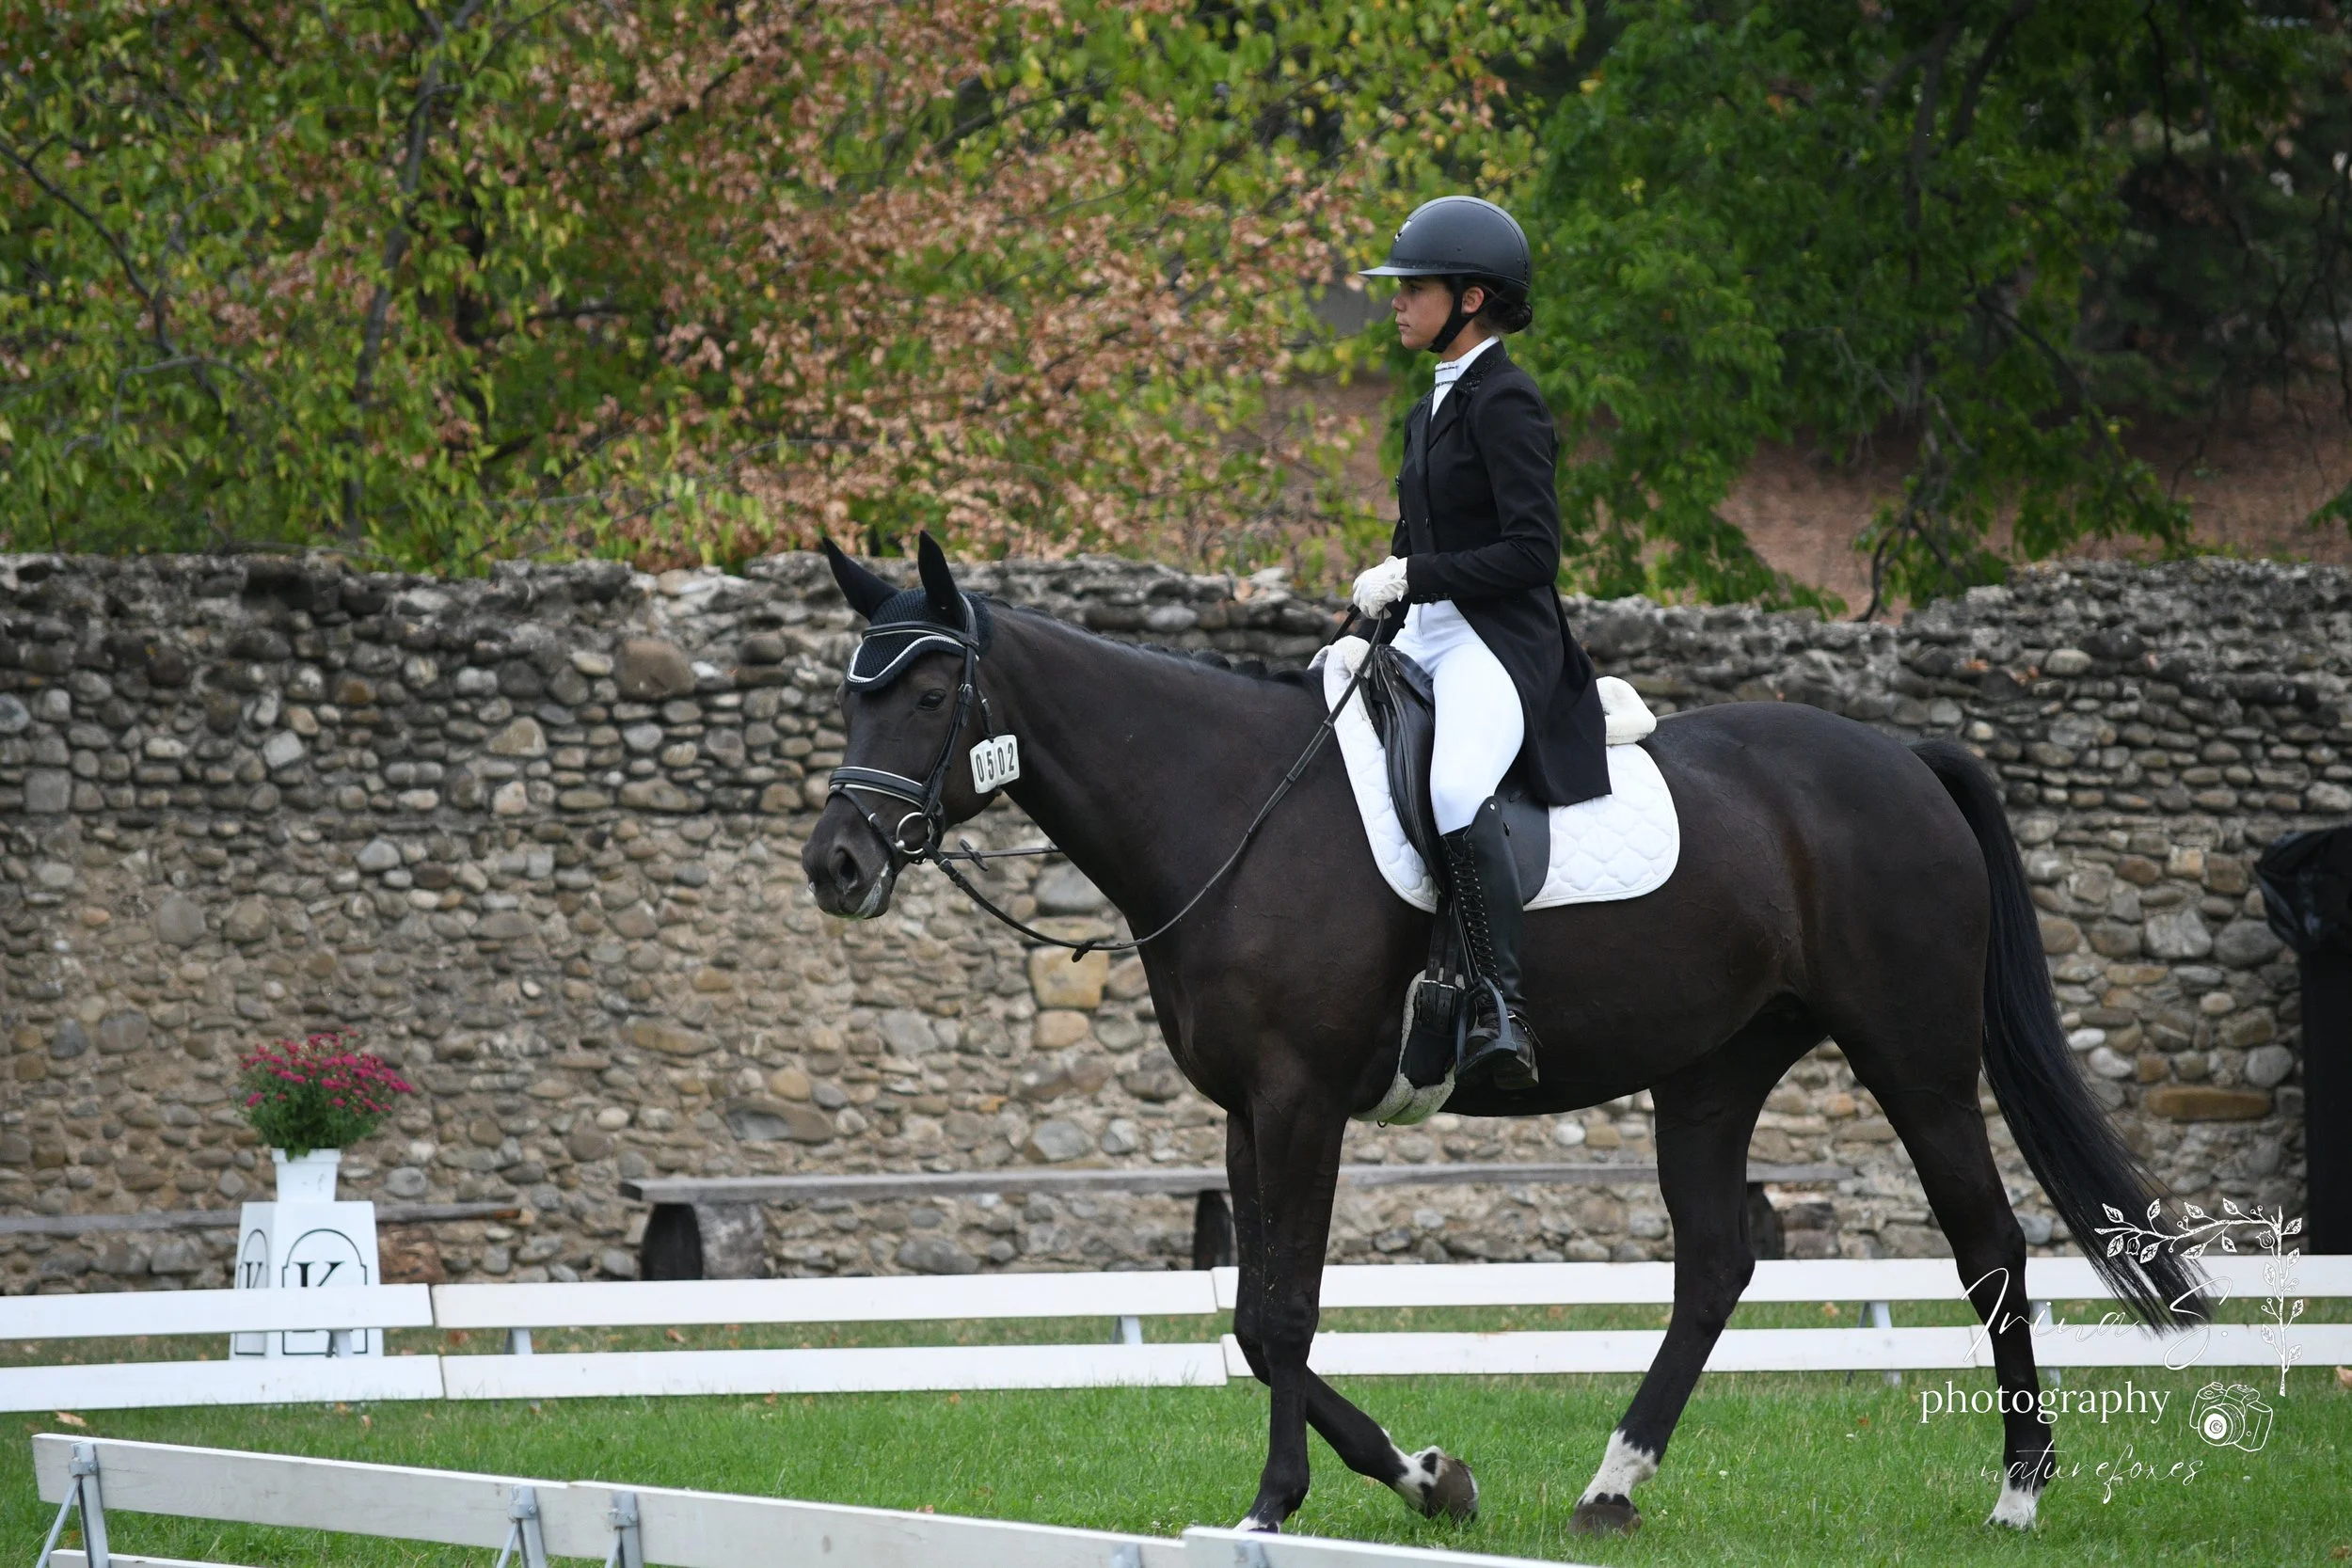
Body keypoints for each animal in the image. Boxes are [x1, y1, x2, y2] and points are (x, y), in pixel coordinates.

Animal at [800, 535, 2204, 1537]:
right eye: (850, 694)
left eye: (932, 687)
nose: (837, 863)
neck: (1229, 807)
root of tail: (1904, 756)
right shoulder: (1246, 1106)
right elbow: (1251, 1315)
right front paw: (1426, 1475)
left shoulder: (1301, 1098)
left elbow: (1284, 1310)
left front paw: (1280, 1504)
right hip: (1714, 1071)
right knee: (1714, 1265)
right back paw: (1611, 1486)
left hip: (1913, 1057)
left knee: (1987, 1244)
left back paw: (2018, 1489)